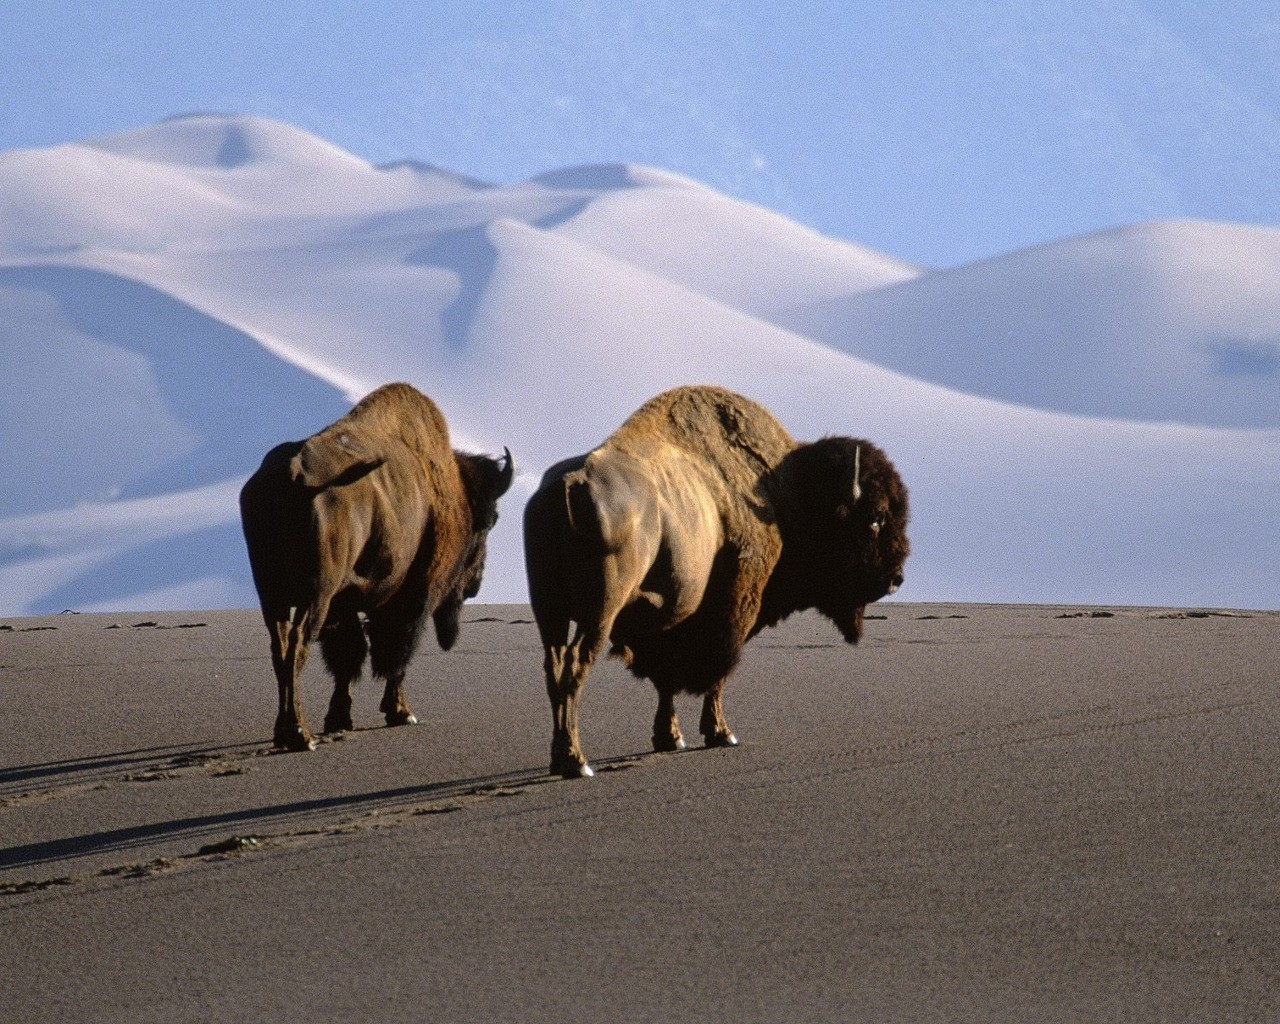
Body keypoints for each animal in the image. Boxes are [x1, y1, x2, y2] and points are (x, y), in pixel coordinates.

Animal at [240, 382, 514, 751]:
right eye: (489, 521)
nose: (475, 585)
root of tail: (295, 475)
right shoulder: (412, 597)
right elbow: (395, 652)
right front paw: (400, 712)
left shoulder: (344, 606)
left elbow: (350, 656)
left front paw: (339, 718)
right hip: (315, 595)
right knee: (298, 645)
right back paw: (300, 734)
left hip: (273, 596)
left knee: (280, 648)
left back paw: (284, 731)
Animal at [524, 385, 908, 778]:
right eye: (875, 519)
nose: (896, 578)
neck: (784, 492)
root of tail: (569, 485)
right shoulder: (734, 612)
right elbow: (717, 674)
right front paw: (721, 734)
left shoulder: (669, 620)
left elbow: (666, 680)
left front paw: (670, 738)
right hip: (599, 611)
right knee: (575, 665)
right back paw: (577, 762)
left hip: (548, 610)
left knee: (554, 665)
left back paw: (560, 757)